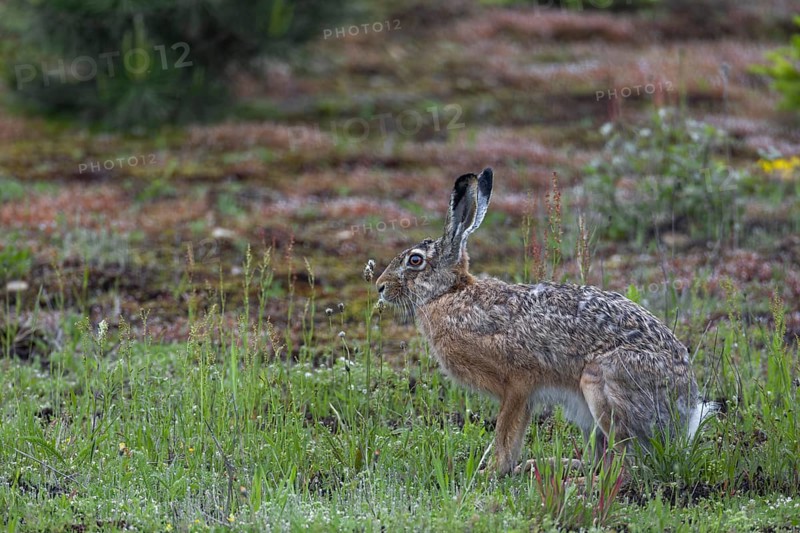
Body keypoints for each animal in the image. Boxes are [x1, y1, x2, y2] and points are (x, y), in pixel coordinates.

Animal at [375, 168, 718, 476]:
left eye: (415, 260)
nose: (379, 286)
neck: (449, 293)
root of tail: (684, 413)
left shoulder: (518, 384)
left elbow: (506, 433)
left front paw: (491, 472)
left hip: (601, 383)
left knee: (626, 467)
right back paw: (547, 466)